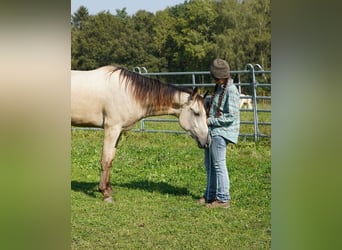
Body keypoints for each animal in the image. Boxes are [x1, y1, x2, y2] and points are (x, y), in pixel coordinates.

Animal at [71, 65, 207, 202]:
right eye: (197, 113)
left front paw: (108, 188)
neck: (127, 92)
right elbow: (106, 159)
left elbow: (111, 159)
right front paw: (105, 193)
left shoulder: (119, 131)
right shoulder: (112, 128)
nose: (206, 141)